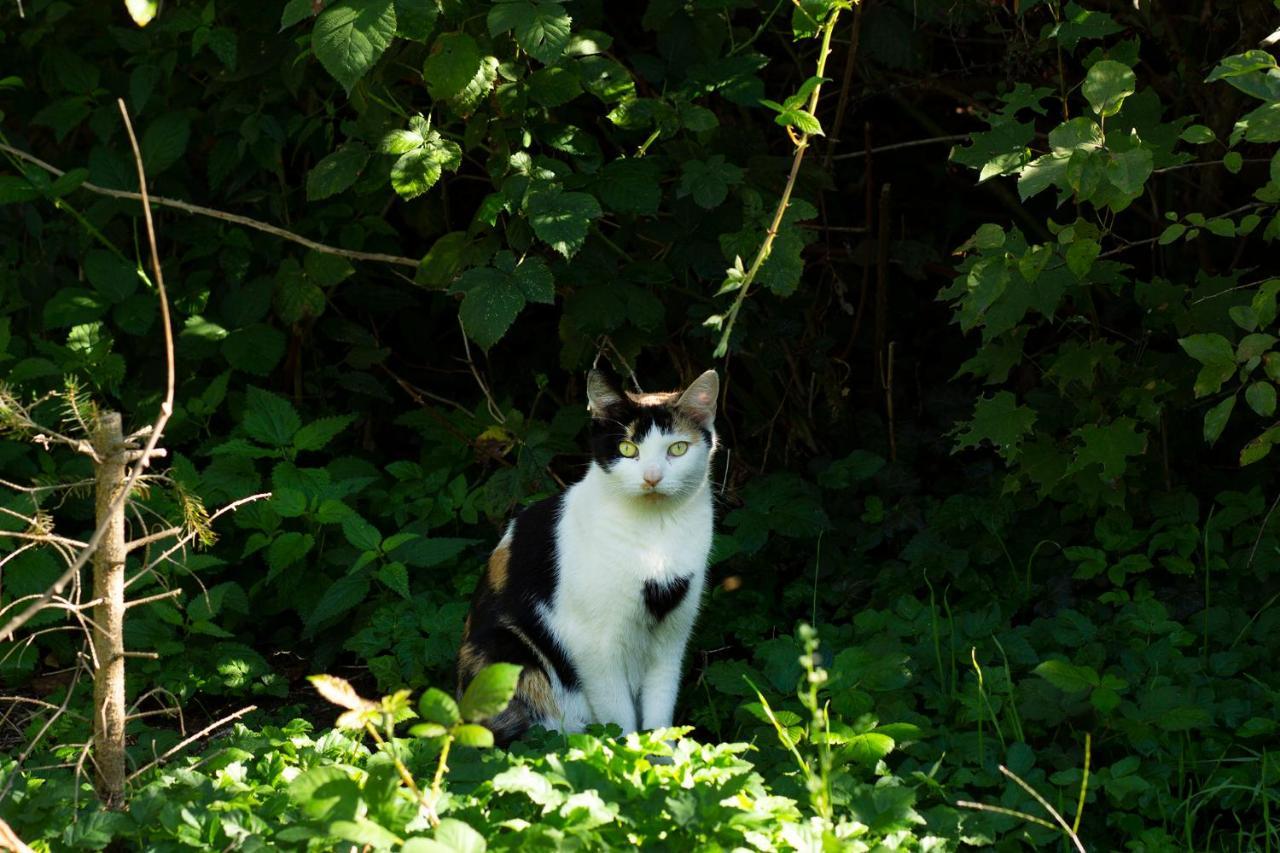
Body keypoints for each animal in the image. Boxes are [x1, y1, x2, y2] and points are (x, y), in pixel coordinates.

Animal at [458, 368, 721, 742]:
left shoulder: (672, 636)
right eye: (627, 448)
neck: (656, 533)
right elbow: (619, 718)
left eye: (678, 448)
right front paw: (623, 756)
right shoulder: (592, 644)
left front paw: (664, 755)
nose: (652, 477)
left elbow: (659, 713)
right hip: (505, 650)